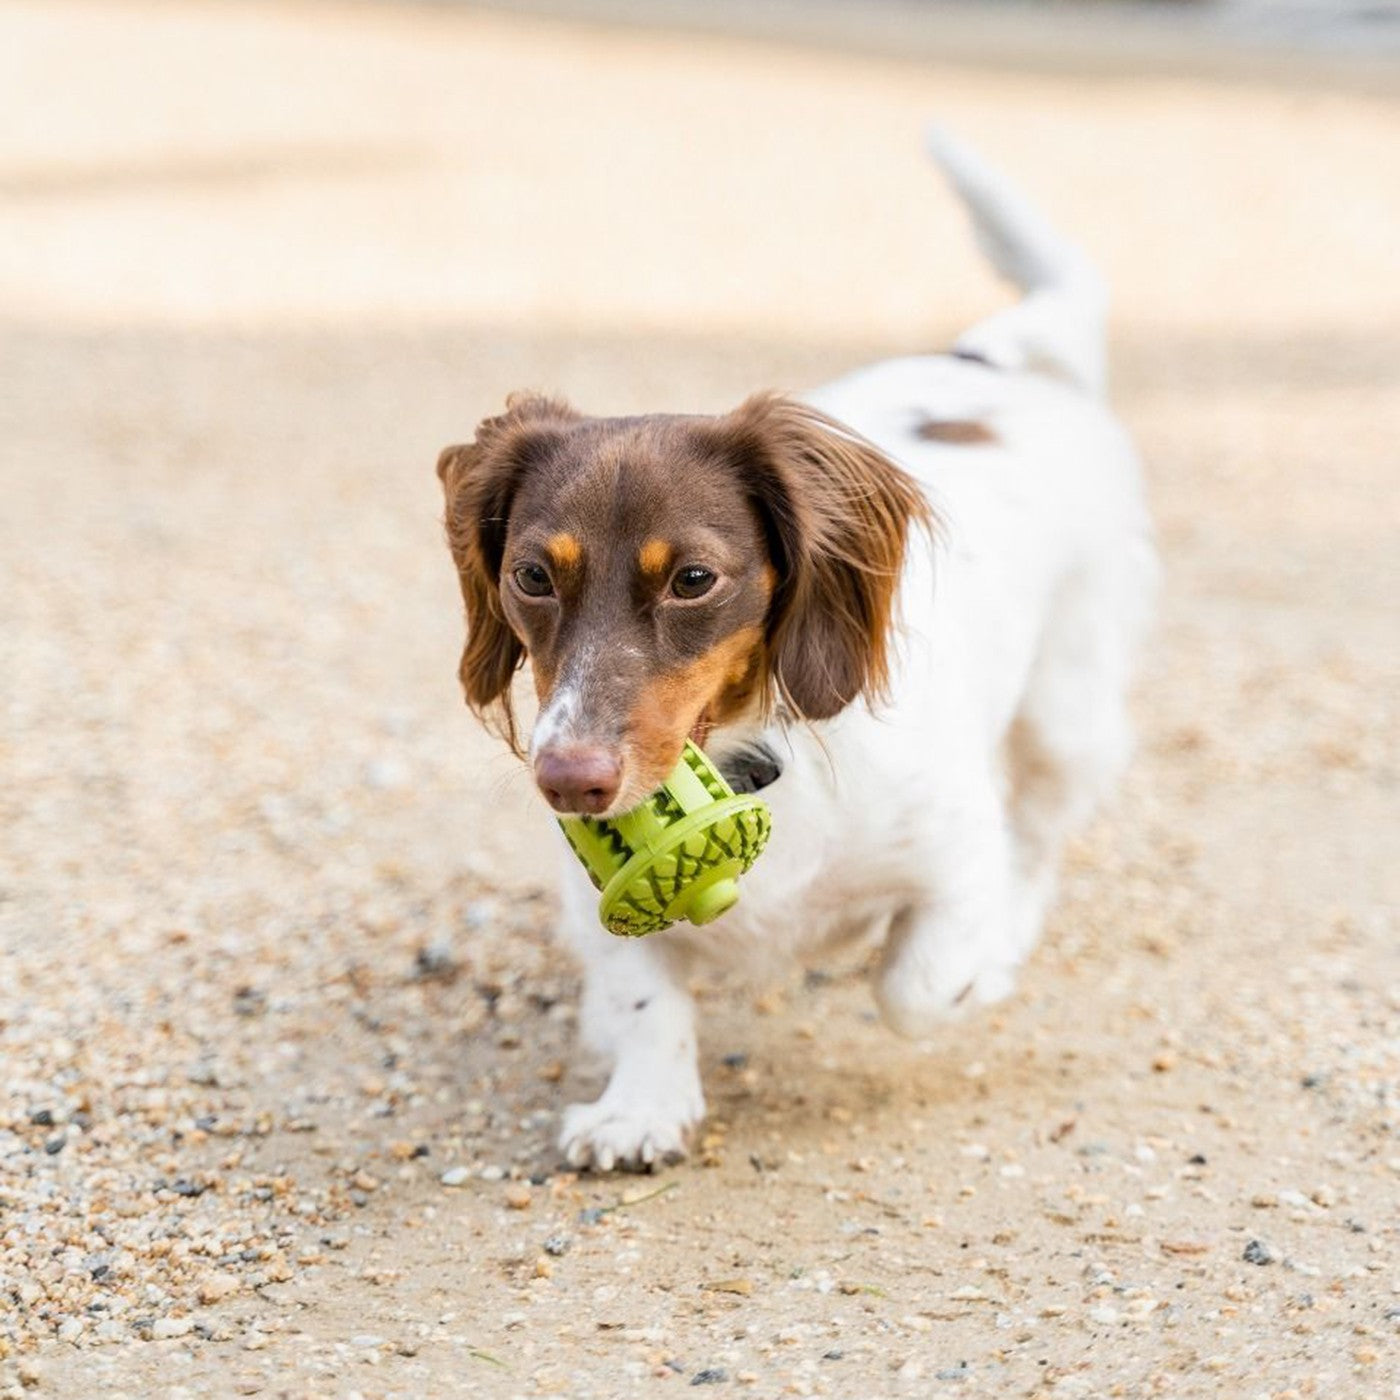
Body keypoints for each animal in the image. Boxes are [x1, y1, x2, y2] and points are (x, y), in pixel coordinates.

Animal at [439, 128, 1159, 1170]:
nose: (569, 781)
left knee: (1040, 832)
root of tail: (991, 361)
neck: (755, 754)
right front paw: (638, 1106)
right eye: (532, 576)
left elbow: (916, 985)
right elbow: (642, 990)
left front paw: (973, 969)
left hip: (1072, 707)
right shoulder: (592, 899)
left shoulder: (953, 850)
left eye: (693, 578)